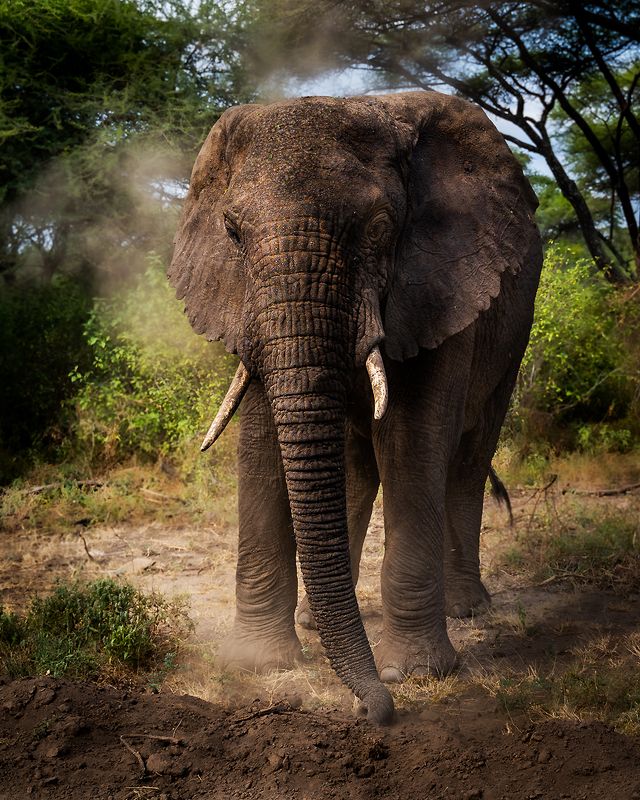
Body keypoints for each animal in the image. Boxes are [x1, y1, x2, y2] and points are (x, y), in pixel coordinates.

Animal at [169, 91, 542, 724]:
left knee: (467, 459)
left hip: (512, 335)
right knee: (355, 465)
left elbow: (413, 438)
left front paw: (409, 674)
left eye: (378, 229)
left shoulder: (437, 283)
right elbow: (261, 441)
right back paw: (311, 623)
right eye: (233, 233)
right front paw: (258, 664)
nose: (374, 712)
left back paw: (467, 609)